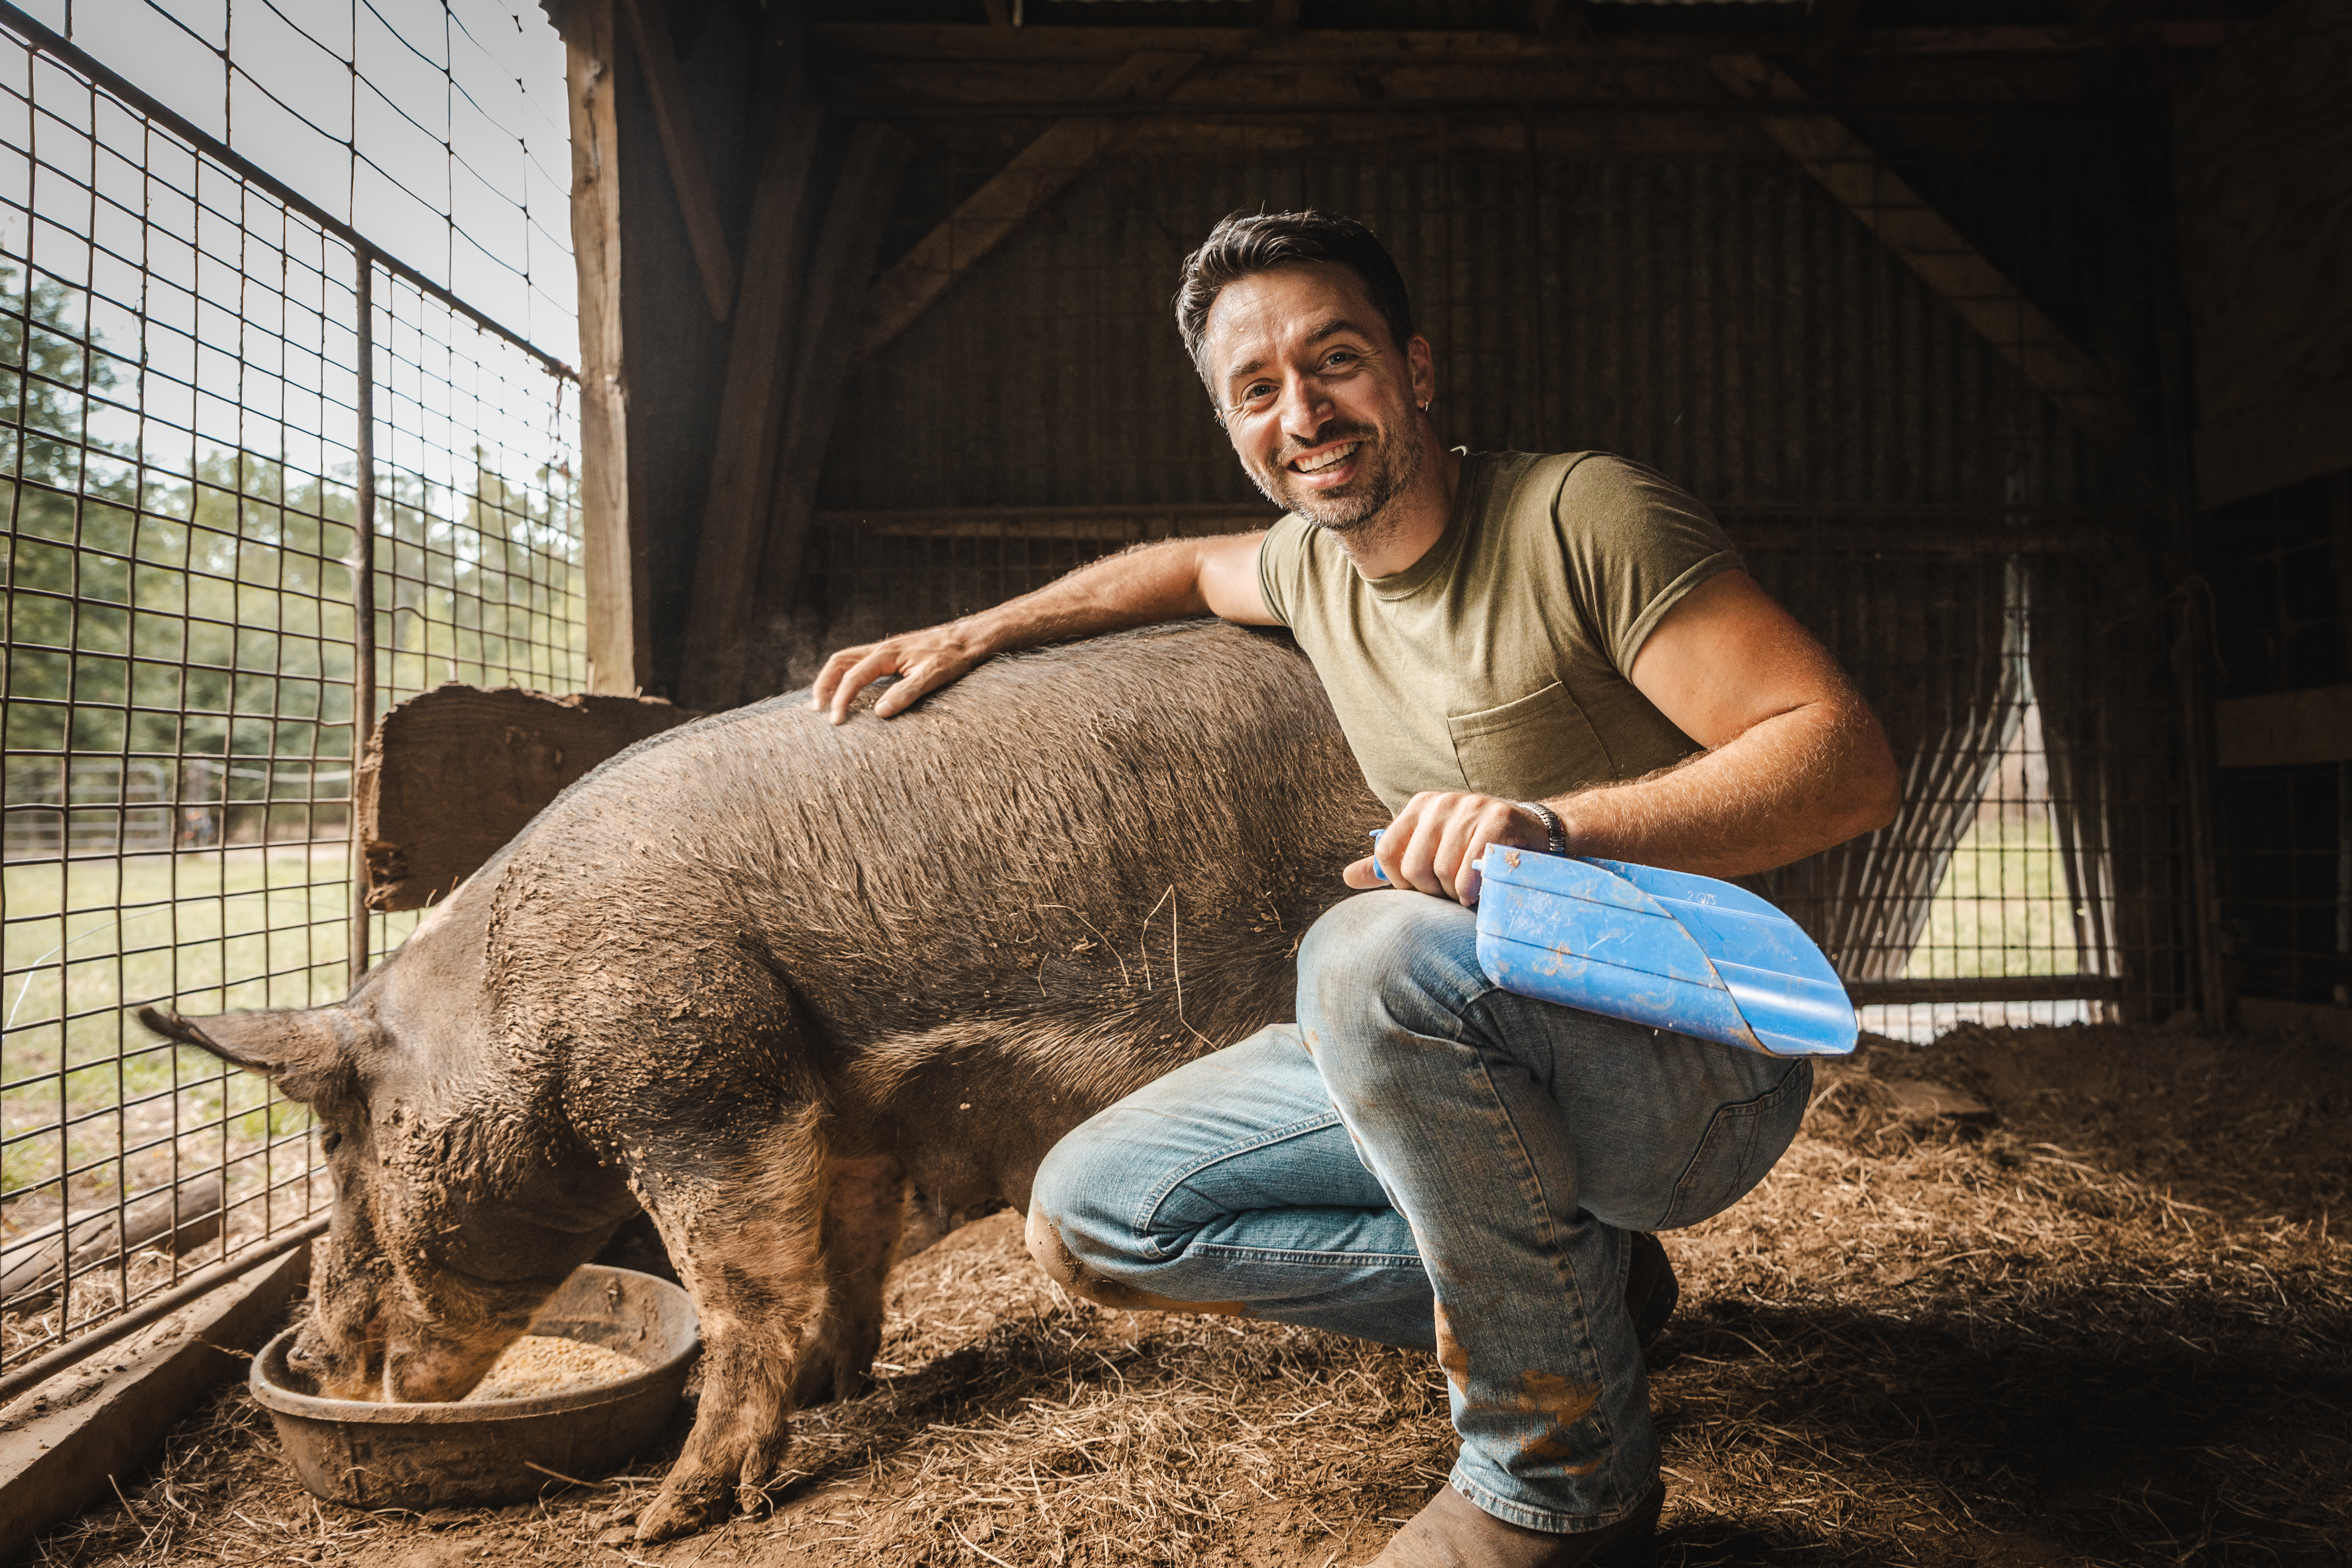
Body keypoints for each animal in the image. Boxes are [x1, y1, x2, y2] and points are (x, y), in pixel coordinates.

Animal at [140, 620, 1381, 1542]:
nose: (310, 1356)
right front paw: (845, 1382)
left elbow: (745, 1291)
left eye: (336, 1142)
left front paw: (663, 1521)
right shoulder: (847, 1108)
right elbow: (848, 1251)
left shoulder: (700, 1082)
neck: (509, 1005)